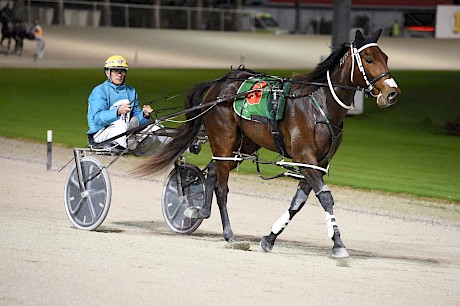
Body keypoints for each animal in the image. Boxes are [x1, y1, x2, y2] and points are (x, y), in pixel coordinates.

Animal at [137, 29, 398, 258]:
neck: (319, 105)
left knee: (212, 170)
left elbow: (297, 203)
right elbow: (325, 197)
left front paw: (269, 239)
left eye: (385, 57)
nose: (392, 93)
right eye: (369, 59)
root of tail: (218, 83)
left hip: (242, 145)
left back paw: (200, 209)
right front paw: (338, 244)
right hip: (224, 139)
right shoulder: (305, 157)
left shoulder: (318, 164)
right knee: (222, 187)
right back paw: (228, 233)